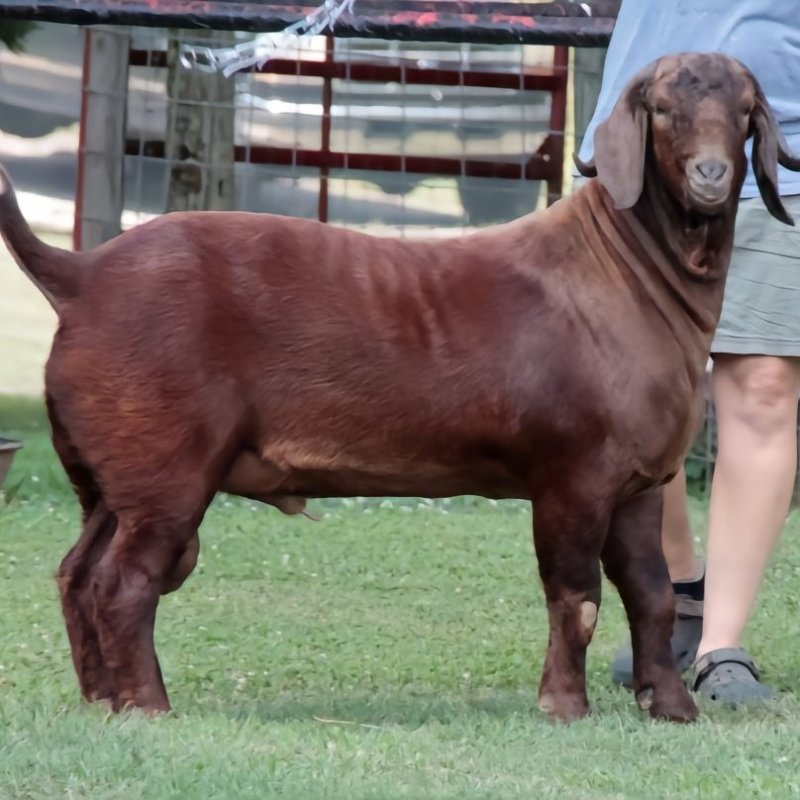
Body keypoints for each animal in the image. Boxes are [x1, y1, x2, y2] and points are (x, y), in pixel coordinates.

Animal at [3, 50, 796, 724]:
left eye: (746, 108)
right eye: (661, 109)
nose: (710, 176)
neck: (626, 268)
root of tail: (81, 276)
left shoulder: (638, 481)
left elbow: (651, 595)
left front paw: (674, 708)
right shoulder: (574, 474)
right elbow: (577, 597)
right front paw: (565, 707)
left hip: (109, 473)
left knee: (78, 573)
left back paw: (100, 701)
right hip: (164, 462)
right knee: (125, 581)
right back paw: (148, 707)